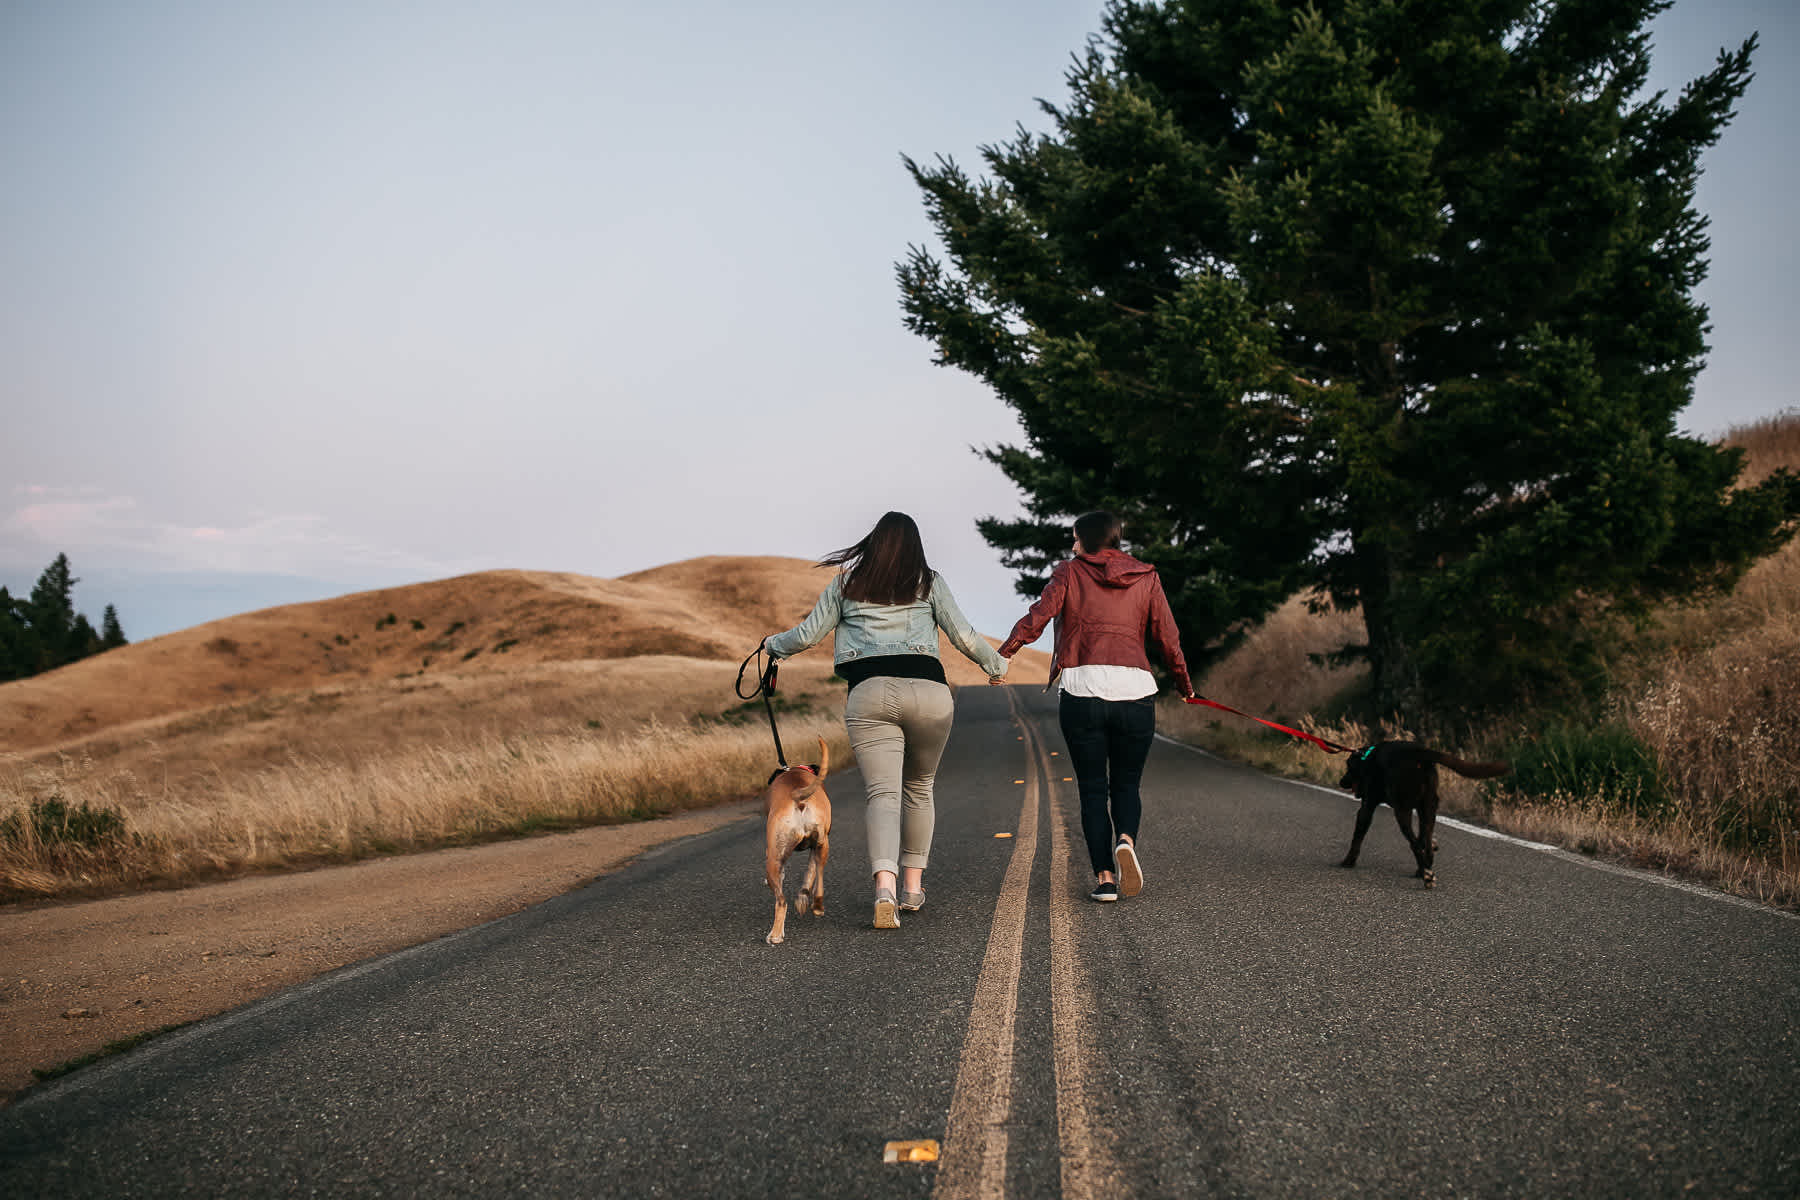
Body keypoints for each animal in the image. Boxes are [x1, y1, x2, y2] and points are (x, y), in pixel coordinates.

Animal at [766, 734, 835, 949]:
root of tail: (796, 795)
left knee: (781, 902)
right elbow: (810, 874)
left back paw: (775, 935)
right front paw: (803, 898)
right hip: (822, 845)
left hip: (773, 861)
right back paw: (817, 905)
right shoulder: (816, 846)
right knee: (818, 878)